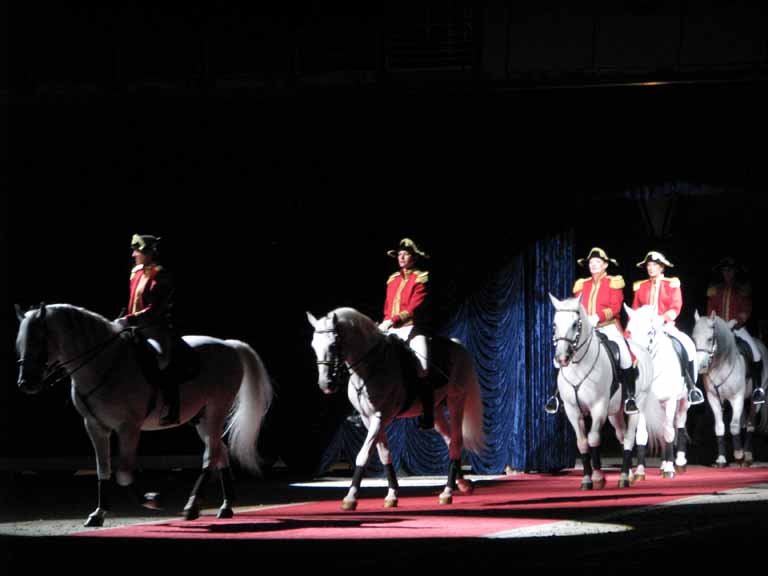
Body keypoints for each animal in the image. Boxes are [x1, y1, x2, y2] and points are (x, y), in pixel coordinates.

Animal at [15, 304, 274, 528]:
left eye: (39, 339)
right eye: (21, 343)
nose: (25, 383)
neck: (103, 365)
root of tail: (229, 345)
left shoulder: (128, 427)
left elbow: (124, 472)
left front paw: (150, 500)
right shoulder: (95, 427)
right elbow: (103, 470)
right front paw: (98, 514)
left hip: (215, 411)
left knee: (211, 456)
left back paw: (192, 506)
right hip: (202, 419)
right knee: (220, 452)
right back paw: (226, 506)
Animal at [304, 308, 480, 510]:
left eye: (333, 345)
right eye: (313, 346)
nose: (326, 384)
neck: (371, 366)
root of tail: (458, 346)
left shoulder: (381, 417)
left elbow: (363, 454)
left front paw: (350, 497)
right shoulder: (368, 418)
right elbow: (384, 454)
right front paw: (392, 494)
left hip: (455, 400)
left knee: (456, 440)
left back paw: (448, 491)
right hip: (435, 411)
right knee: (450, 440)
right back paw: (463, 484)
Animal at [544, 294, 664, 488]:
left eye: (575, 324)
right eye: (554, 324)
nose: (562, 358)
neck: (578, 366)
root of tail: (640, 349)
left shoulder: (598, 407)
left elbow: (593, 438)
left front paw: (598, 477)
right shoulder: (572, 410)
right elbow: (582, 443)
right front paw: (588, 478)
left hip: (637, 404)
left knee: (629, 437)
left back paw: (624, 477)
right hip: (615, 413)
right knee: (622, 436)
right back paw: (628, 473)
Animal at [628, 306, 692, 476]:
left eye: (650, 332)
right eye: (630, 331)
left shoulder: (670, 401)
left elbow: (669, 432)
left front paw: (670, 469)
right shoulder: (642, 405)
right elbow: (642, 435)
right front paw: (640, 471)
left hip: (683, 402)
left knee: (679, 425)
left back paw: (679, 462)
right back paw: (663, 463)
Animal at [692, 310, 764, 468]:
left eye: (710, 339)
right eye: (694, 339)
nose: (701, 367)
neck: (721, 365)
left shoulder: (737, 398)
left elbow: (734, 426)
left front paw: (738, 454)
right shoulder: (713, 399)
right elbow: (720, 427)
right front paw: (721, 459)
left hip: (754, 401)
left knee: (750, 425)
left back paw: (747, 455)